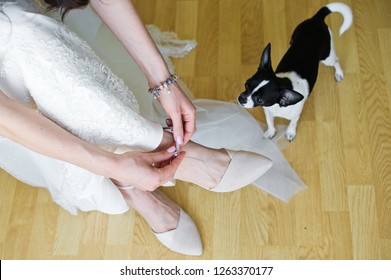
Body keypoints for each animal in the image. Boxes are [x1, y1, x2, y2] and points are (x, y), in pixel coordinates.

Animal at [237, 2, 354, 140]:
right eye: (246, 85)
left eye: (260, 100)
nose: (242, 98)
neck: (278, 106)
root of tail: (316, 19)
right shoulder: (268, 112)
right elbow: (270, 122)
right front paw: (270, 132)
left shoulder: (295, 115)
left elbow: (292, 123)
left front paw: (290, 132)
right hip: (294, 39)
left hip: (327, 57)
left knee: (335, 60)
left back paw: (339, 73)